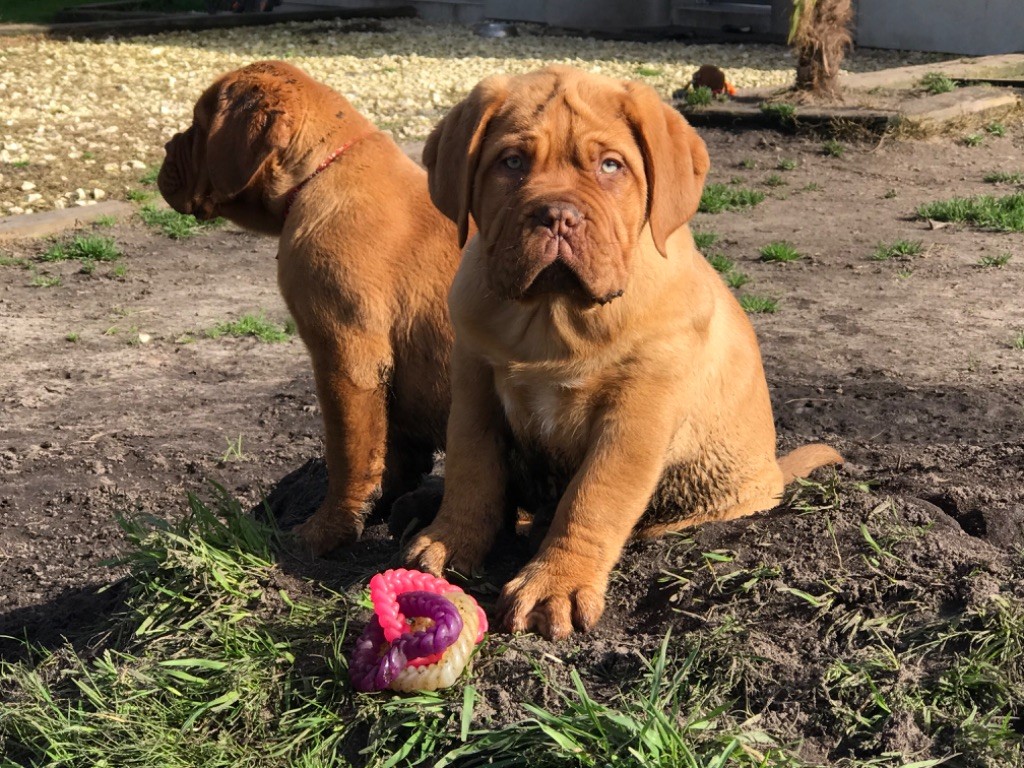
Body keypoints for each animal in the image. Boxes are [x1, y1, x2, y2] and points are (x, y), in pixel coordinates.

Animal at [156, 60, 460, 552]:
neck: (322, 171)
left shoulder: (346, 357)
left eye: (199, 126)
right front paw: (384, 500)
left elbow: (349, 453)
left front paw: (326, 531)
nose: (164, 149)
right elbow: (390, 446)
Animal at [403, 66, 843, 638]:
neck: (555, 316)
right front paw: (450, 541)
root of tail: (773, 470)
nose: (557, 215)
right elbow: (471, 471)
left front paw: (556, 583)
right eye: (512, 162)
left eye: (610, 165)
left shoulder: (637, 412)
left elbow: (593, 498)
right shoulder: (475, 384)